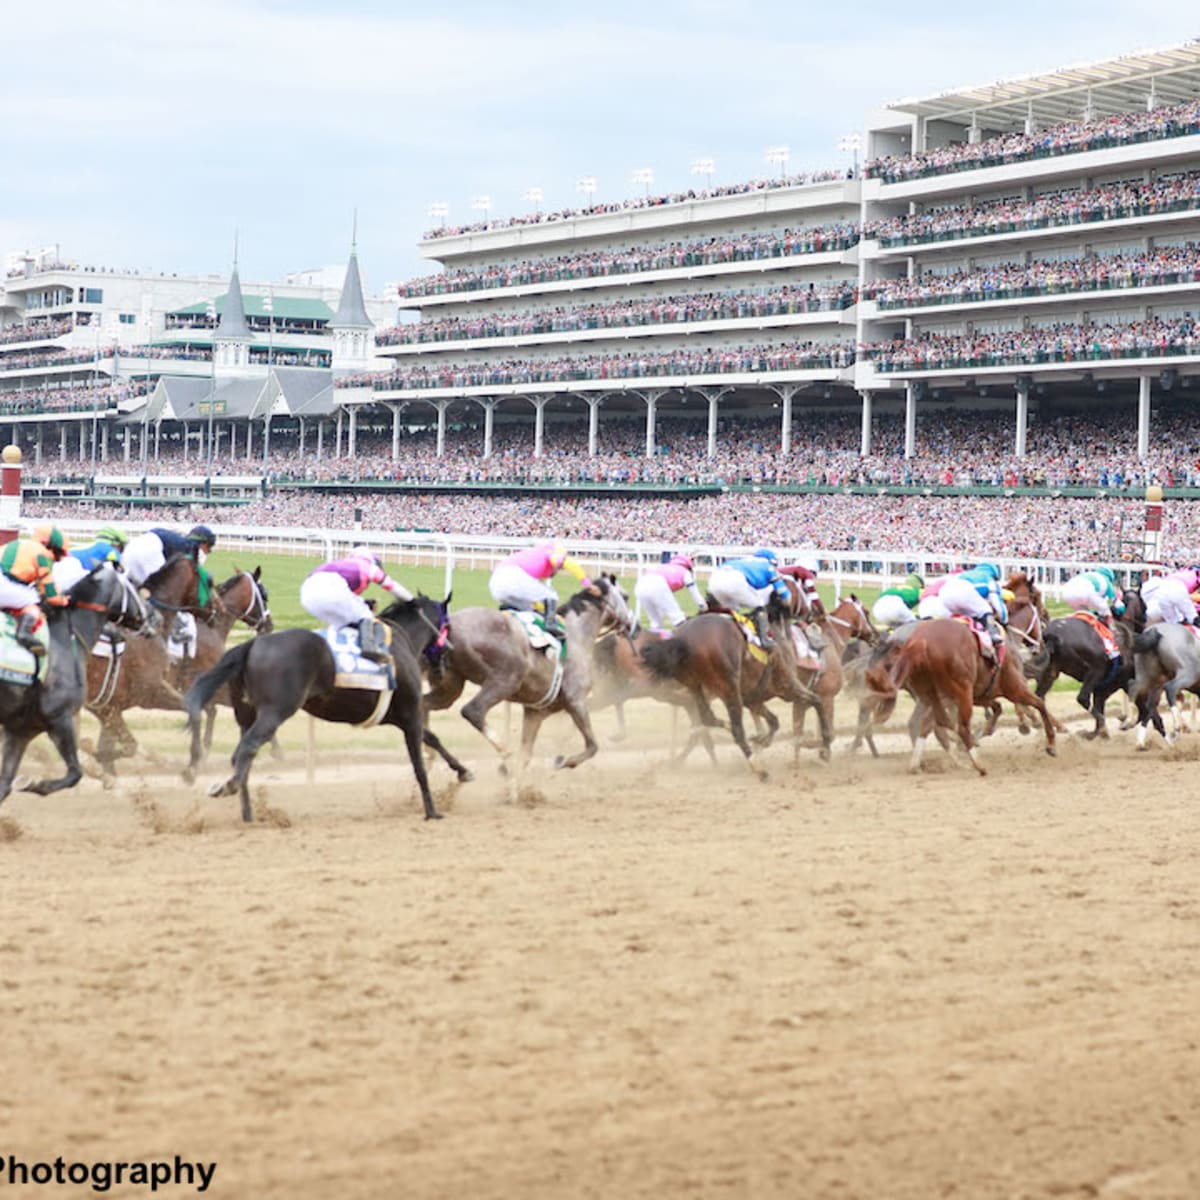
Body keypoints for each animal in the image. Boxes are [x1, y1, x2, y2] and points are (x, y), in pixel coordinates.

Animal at [0, 561, 150, 806]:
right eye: (135, 585)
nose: (153, 619)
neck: (65, 638)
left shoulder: (20, 730)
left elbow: (4, 785)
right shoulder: (61, 719)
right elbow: (74, 773)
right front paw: (36, 784)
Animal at [182, 595, 468, 820]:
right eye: (447, 625)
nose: (447, 657)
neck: (401, 640)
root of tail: (252, 644)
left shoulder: (400, 716)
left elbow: (432, 738)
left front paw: (463, 771)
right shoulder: (410, 714)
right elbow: (419, 764)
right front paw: (432, 811)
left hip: (246, 714)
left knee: (242, 755)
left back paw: (248, 813)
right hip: (276, 710)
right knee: (248, 747)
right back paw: (227, 787)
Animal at [1027, 583, 1147, 734]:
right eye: (1143, 604)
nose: (1145, 621)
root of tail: (1052, 635)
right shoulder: (1115, 681)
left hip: (1051, 672)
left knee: (1039, 697)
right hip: (1095, 669)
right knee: (1082, 698)